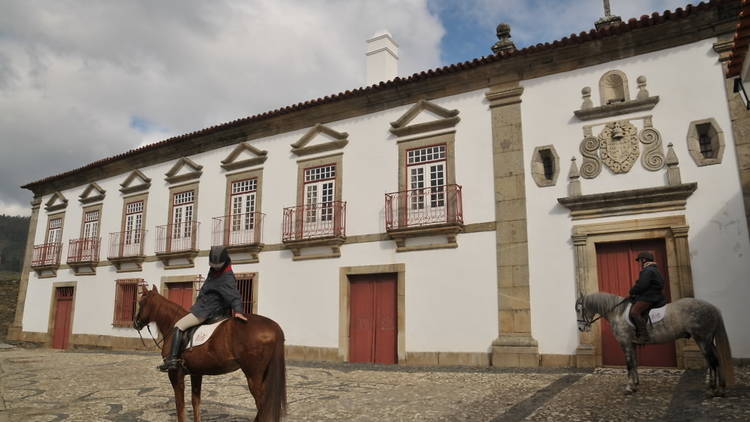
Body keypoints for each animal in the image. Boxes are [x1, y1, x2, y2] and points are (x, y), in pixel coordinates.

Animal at [135, 284, 288, 422]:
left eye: (140, 303)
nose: (136, 323)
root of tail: (274, 326)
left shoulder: (175, 374)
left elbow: (180, 406)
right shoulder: (196, 373)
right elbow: (195, 402)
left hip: (253, 376)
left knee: (262, 406)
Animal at [580, 294, 736, 396]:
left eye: (578, 309)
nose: (581, 328)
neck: (617, 313)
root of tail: (713, 308)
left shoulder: (625, 343)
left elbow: (629, 365)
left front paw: (629, 387)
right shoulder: (632, 344)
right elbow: (635, 363)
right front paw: (635, 385)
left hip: (702, 339)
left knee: (713, 361)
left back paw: (714, 389)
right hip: (708, 340)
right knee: (716, 360)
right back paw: (719, 388)